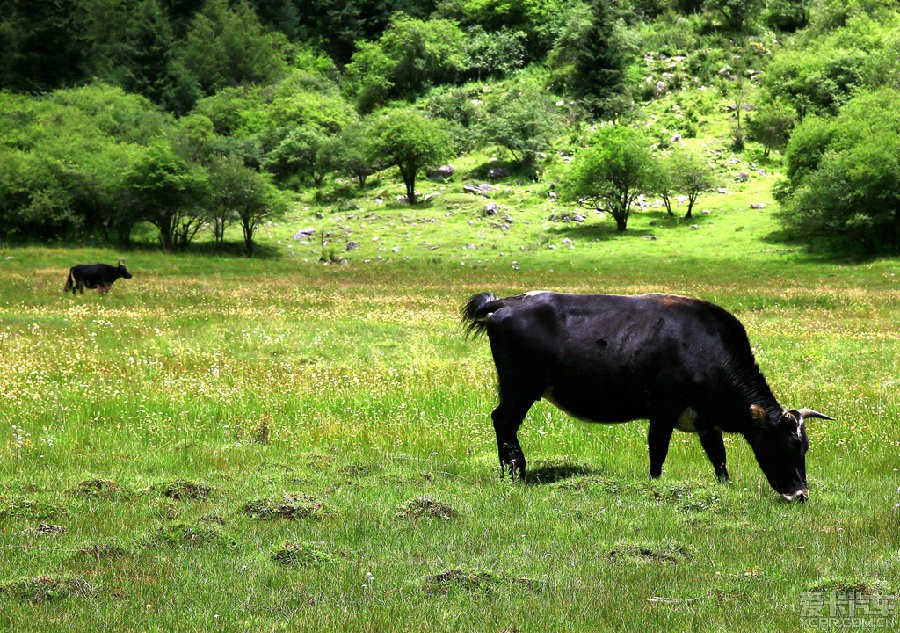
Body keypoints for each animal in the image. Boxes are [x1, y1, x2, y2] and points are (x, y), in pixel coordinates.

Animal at [464, 292, 836, 504]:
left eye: (804, 448)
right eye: (783, 446)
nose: (800, 495)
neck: (704, 348)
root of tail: (510, 302)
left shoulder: (706, 420)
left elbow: (718, 457)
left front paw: (725, 486)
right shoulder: (663, 410)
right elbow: (658, 451)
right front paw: (654, 486)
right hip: (520, 388)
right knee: (503, 420)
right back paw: (514, 471)